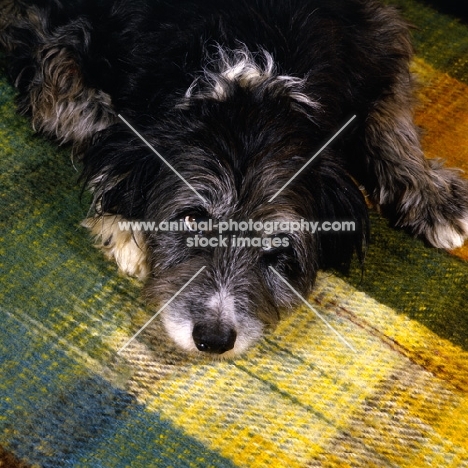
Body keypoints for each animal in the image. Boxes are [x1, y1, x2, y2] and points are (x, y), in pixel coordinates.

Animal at [0, 0, 468, 356]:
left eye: (279, 245)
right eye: (191, 219)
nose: (212, 340)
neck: (251, 83)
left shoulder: (379, 34)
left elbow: (392, 119)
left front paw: (432, 195)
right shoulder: (57, 53)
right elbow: (93, 124)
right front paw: (124, 223)